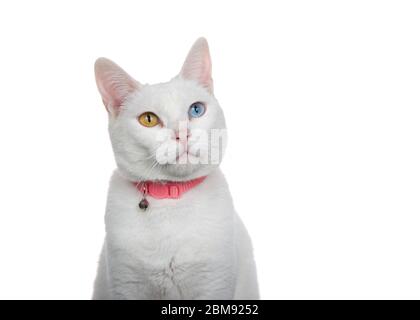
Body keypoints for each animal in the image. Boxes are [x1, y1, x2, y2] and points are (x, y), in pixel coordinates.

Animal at [92, 37, 260, 300]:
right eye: (148, 119)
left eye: (196, 110)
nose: (182, 133)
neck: (172, 203)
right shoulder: (126, 285)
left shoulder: (214, 285)